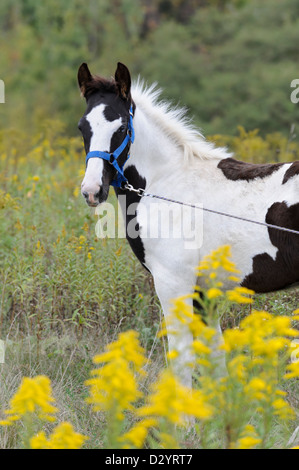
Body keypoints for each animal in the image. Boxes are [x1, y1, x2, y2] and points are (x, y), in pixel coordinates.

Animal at [78, 61, 299, 386]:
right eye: (82, 127)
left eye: (121, 128)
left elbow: (182, 363)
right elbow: (216, 363)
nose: (92, 190)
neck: (169, 182)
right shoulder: (204, 294)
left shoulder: (173, 284)